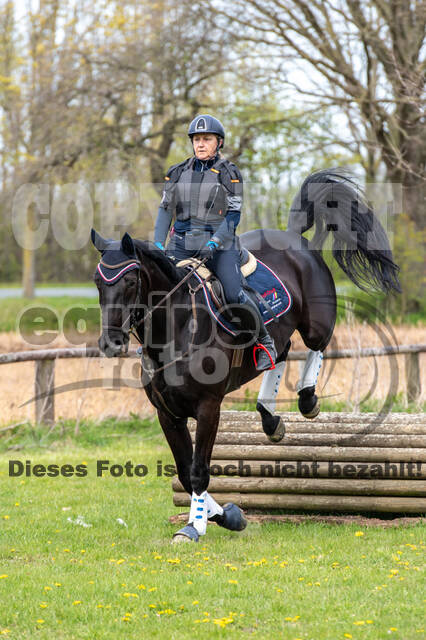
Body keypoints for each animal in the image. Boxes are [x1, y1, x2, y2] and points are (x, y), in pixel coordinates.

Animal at [91, 169, 402, 540]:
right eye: (98, 282)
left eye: (129, 281)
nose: (110, 342)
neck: (175, 333)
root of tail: (293, 237)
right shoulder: (168, 414)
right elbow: (184, 471)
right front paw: (227, 516)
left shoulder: (208, 407)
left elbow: (198, 471)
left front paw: (195, 528)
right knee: (279, 353)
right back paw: (269, 418)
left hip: (317, 321)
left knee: (315, 346)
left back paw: (307, 400)